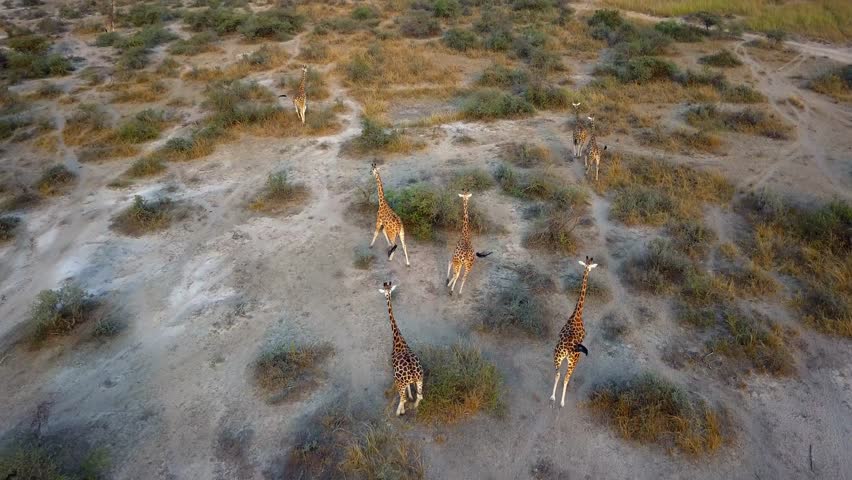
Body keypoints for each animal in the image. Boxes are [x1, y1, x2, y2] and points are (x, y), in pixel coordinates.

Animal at [379, 281, 424, 416]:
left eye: (386, 292)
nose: (388, 296)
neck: (397, 338)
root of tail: (414, 372)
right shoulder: (408, 381)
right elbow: (410, 389)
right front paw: (411, 396)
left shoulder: (397, 377)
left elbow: (404, 397)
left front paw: (401, 410)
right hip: (420, 380)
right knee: (420, 396)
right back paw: (414, 407)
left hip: (400, 382)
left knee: (402, 398)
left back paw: (399, 412)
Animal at [550, 256, 597, 407]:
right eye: (589, 267)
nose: (588, 270)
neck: (577, 314)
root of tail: (568, 349)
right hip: (572, 360)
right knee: (565, 377)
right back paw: (561, 402)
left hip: (558, 356)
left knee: (558, 374)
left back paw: (553, 398)